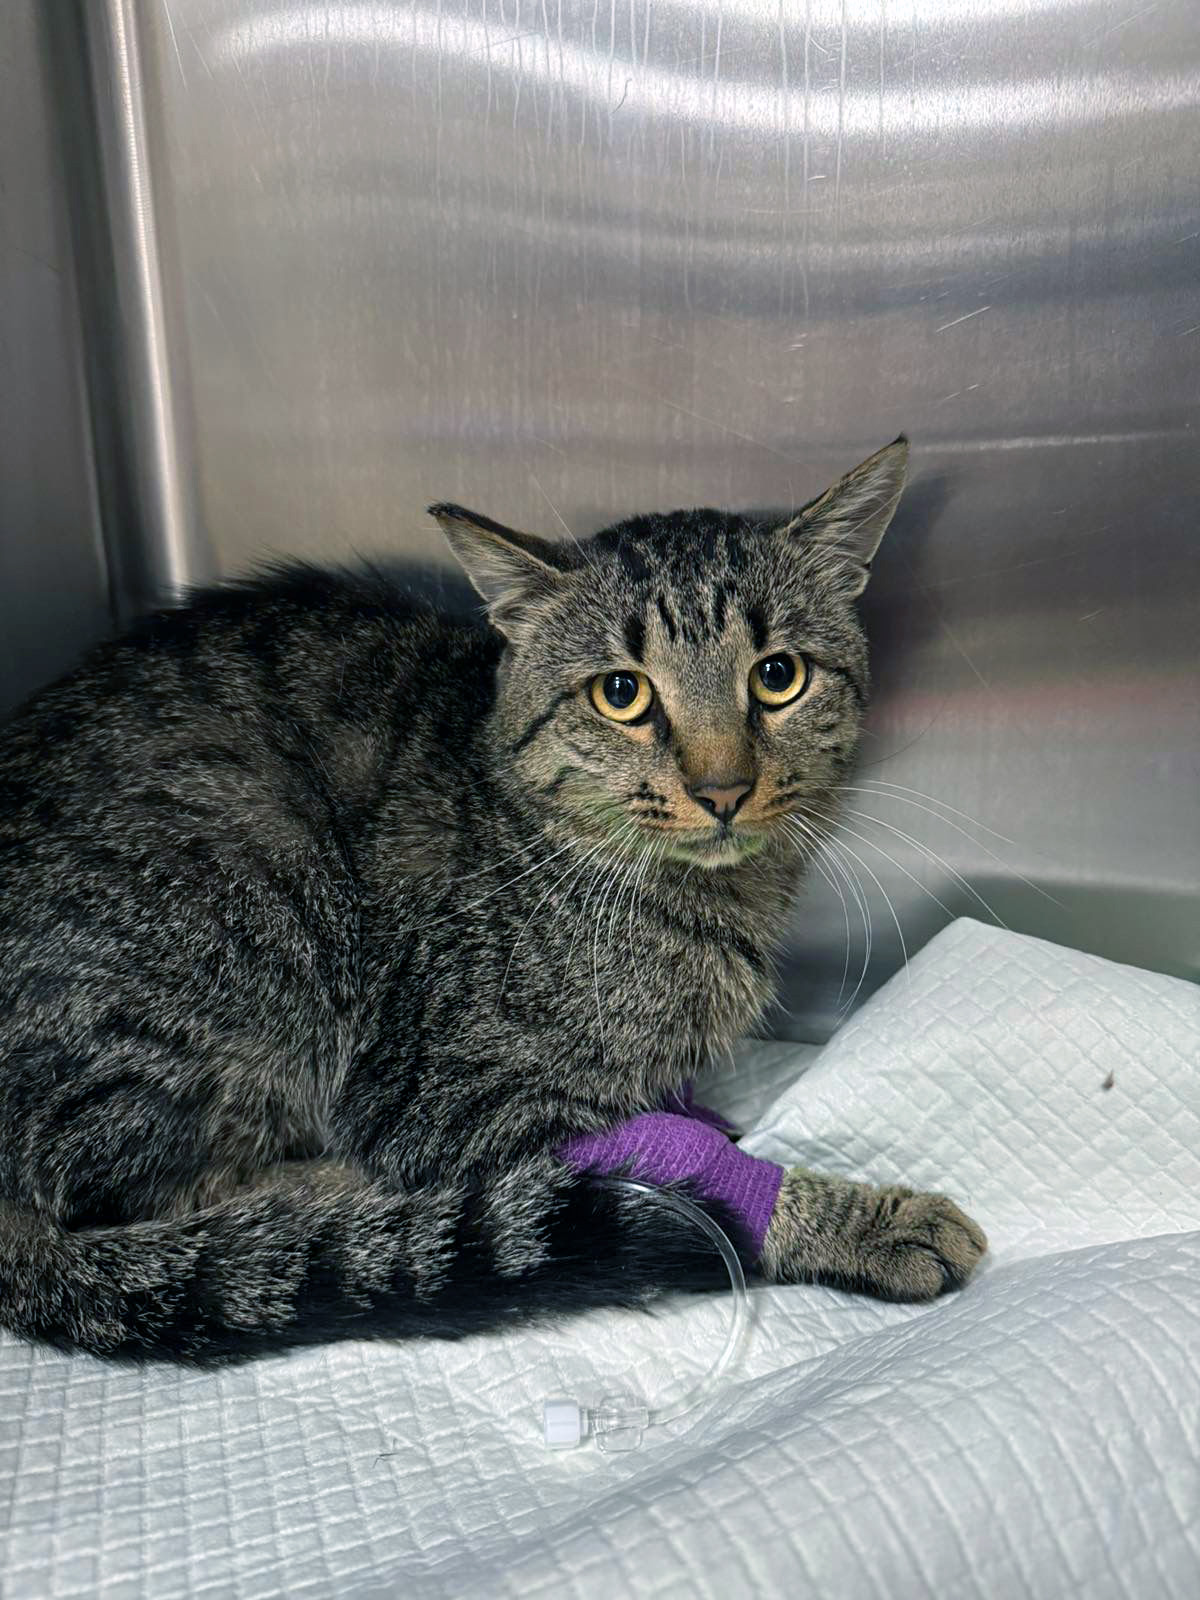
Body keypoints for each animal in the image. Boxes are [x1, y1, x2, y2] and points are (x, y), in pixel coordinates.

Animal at [0, 436, 985, 1363]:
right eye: (622, 694)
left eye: (778, 676)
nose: (723, 789)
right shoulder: (455, 1104)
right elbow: (689, 1178)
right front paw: (859, 1219)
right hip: (251, 914)